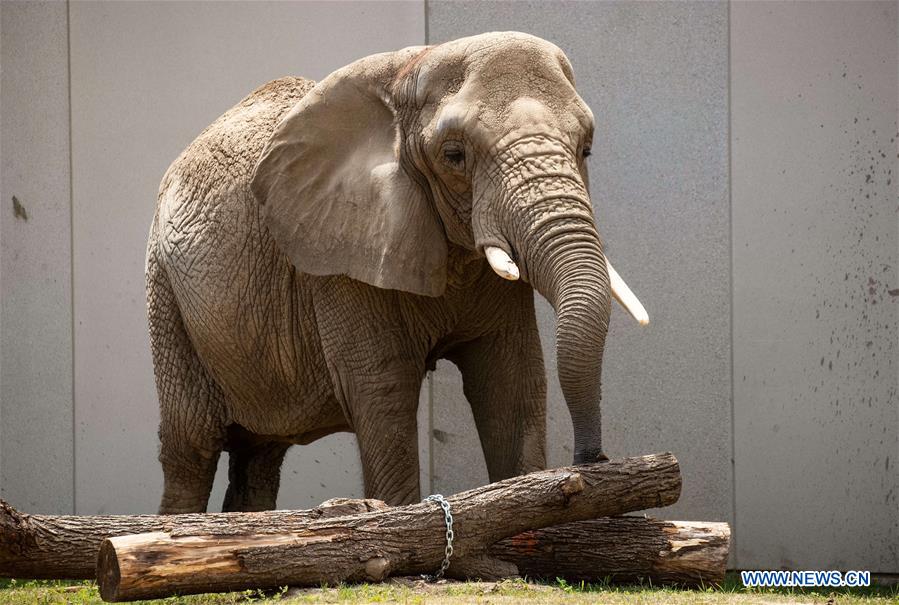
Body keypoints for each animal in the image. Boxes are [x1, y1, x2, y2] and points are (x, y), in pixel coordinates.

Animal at [151, 31, 652, 516]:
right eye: (454, 155)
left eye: (586, 148)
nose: (592, 460)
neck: (409, 71)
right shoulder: (339, 255)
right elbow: (383, 389)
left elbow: (511, 378)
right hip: (166, 292)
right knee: (192, 447)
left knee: (261, 453)